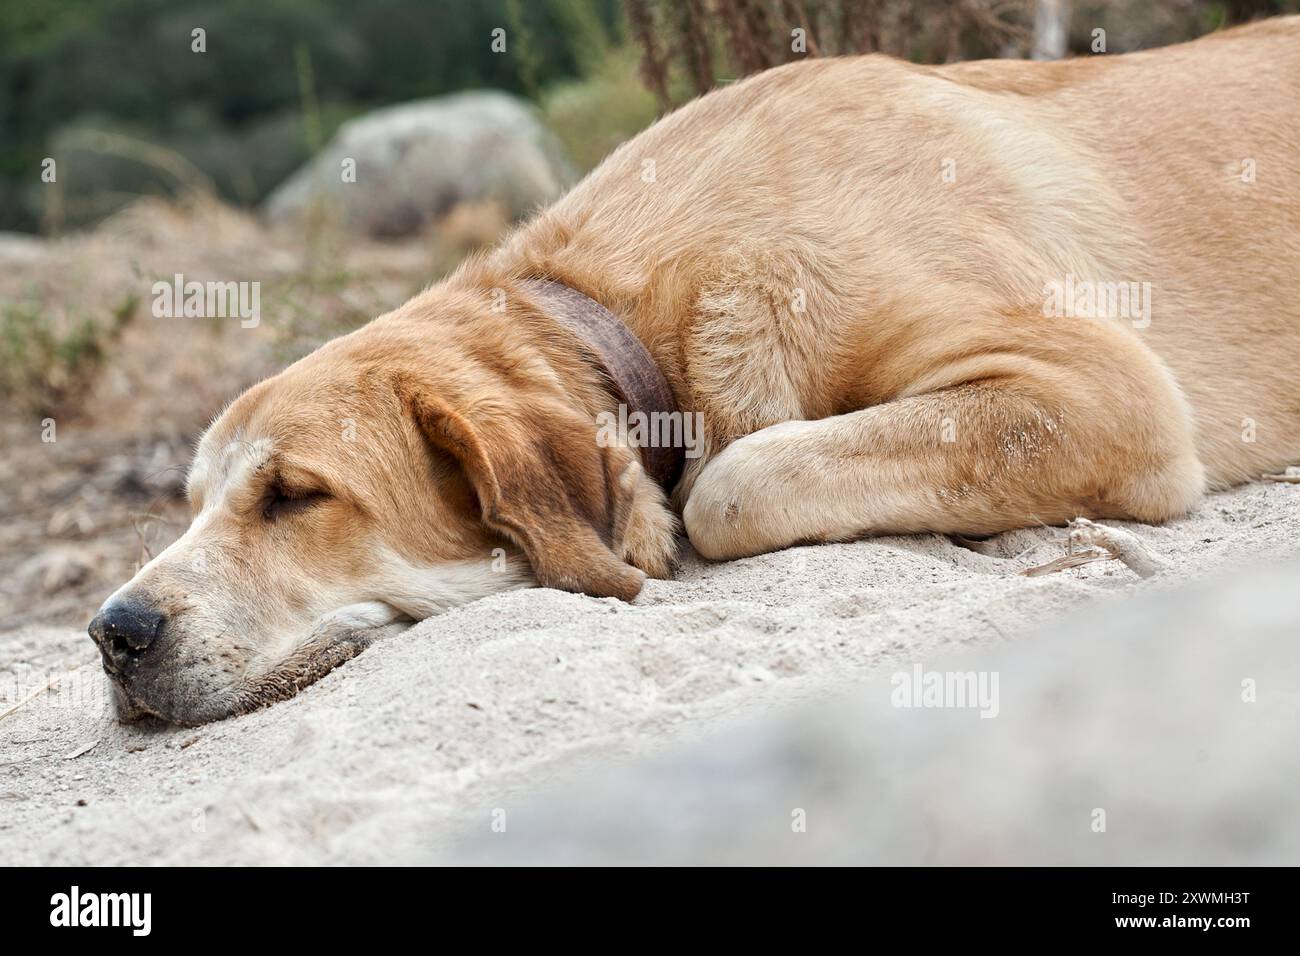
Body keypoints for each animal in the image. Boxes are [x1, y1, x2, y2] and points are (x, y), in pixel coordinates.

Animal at [91, 18, 1300, 723]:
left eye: (295, 495)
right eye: (192, 505)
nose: (114, 633)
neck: (628, 308)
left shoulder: (1104, 390)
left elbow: (733, 483)